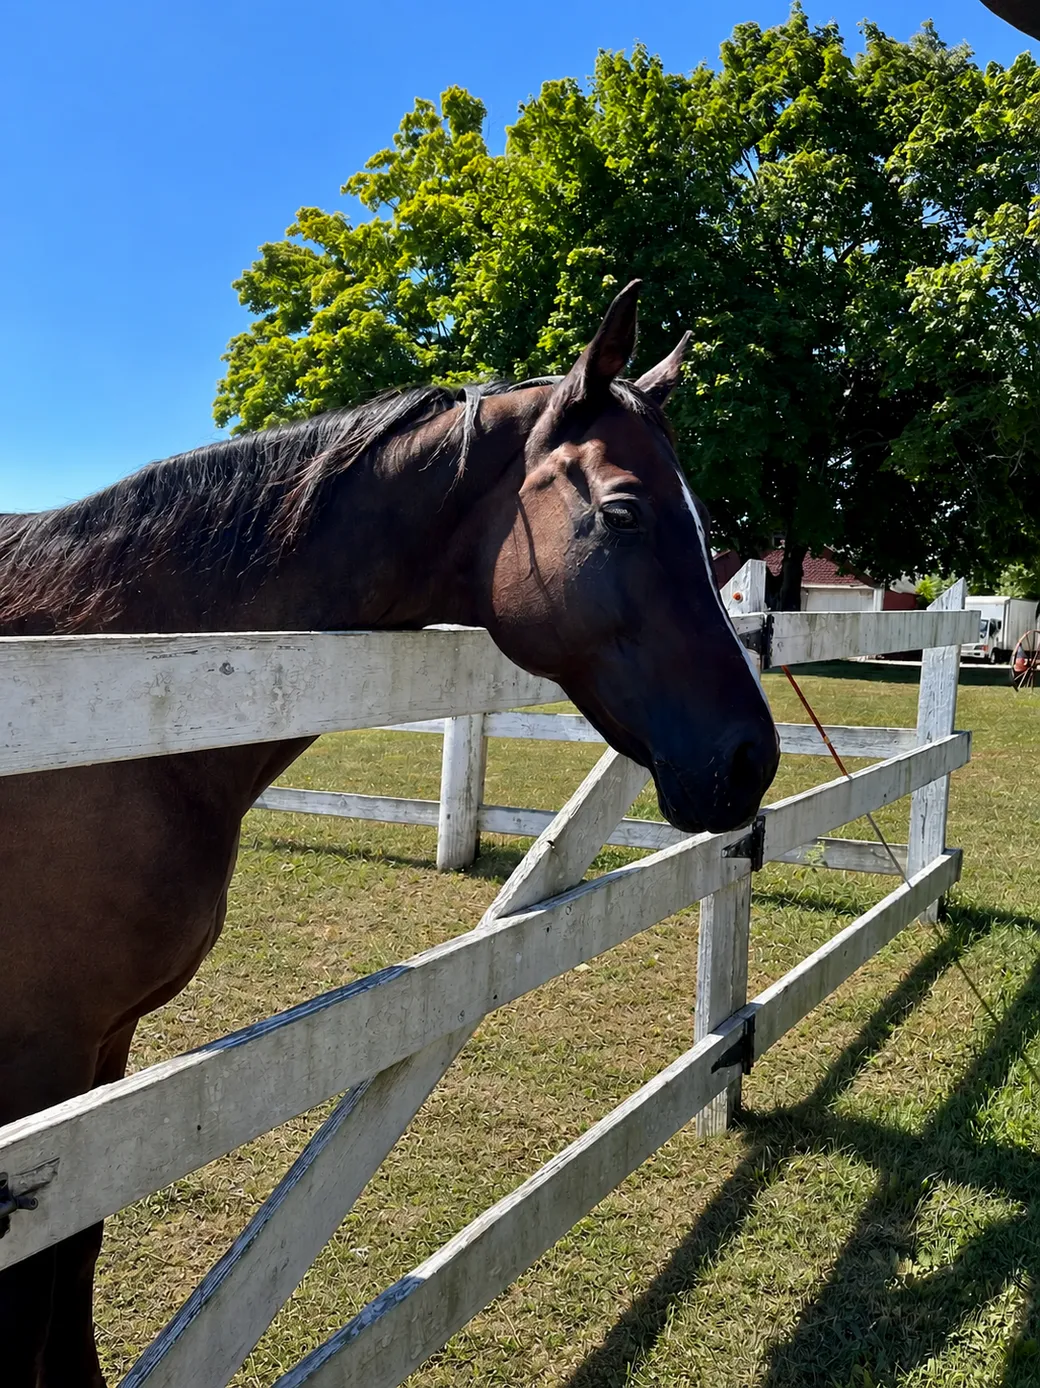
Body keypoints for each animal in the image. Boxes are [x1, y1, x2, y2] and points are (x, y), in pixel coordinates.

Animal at [0, 280, 779, 1385]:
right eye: (625, 511)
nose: (751, 757)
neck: (118, 698)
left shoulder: (103, 1055)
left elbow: (77, 1254)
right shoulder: (42, 1068)